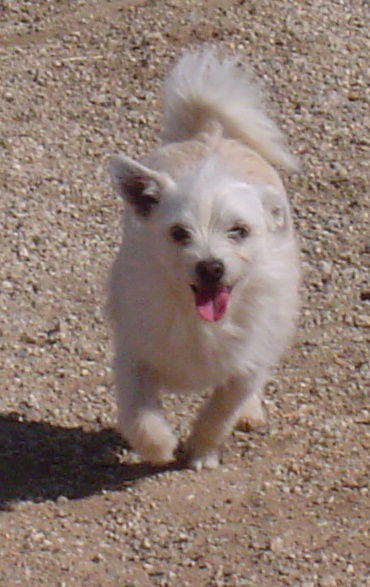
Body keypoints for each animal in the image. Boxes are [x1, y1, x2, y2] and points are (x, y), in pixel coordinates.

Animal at [108, 49, 300, 474]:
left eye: (239, 231)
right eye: (179, 233)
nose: (211, 267)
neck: (198, 321)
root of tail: (208, 134)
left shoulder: (246, 366)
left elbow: (220, 410)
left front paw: (201, 452)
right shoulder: (132, 355)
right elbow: (139, 414)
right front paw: (159, 446)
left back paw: (250, 412)